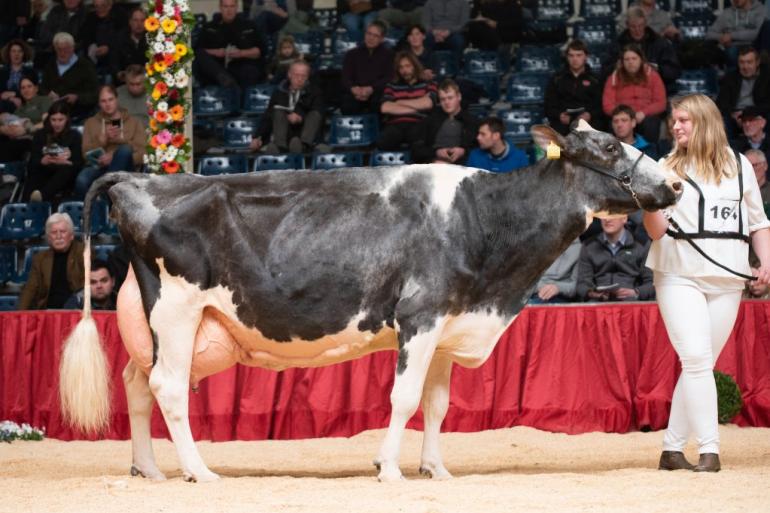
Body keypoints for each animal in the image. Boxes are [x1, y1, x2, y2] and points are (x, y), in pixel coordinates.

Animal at [58, 122, 680, 482]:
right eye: (608, 145)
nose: (674, 185)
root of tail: (139, 179)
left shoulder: (450, 325)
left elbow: (438, 404)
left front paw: (435, 469)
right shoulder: (421, 316)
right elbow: (403, 398)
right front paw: (390, 470)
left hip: (156, 323)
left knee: (138, 383)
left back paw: (148, 470)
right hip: (178, 308)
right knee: (166, 388)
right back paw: (198, 472)